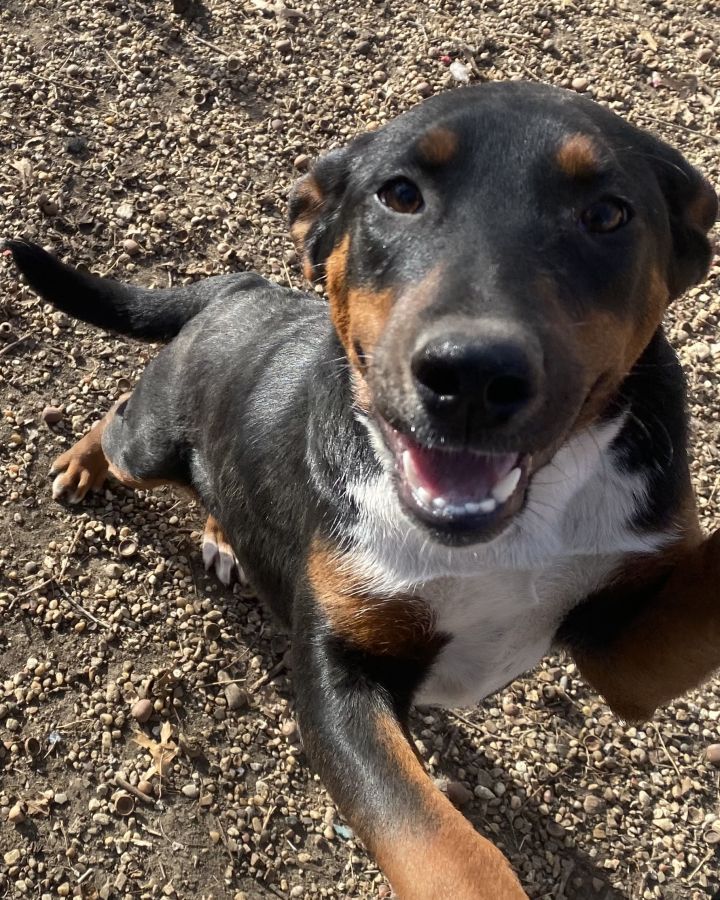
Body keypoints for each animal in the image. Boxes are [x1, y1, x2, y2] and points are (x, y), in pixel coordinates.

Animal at [4, 81, 716, 896]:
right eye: (399, 194)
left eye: (607, 214)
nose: (471, 375)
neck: (508, 534)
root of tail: (244, 287)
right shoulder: (338, 677)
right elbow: (443, 850)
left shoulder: (623, 645)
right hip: (150, 442)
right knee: (116, 419)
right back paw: (82, 464)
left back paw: (223, 534)